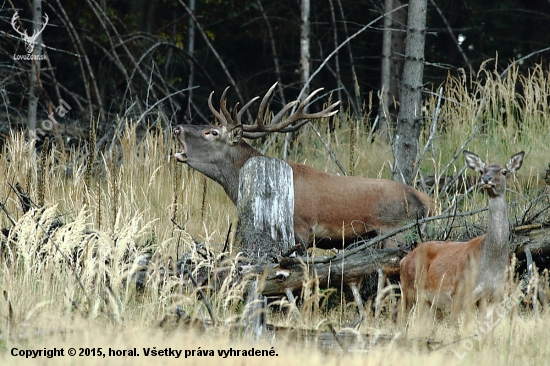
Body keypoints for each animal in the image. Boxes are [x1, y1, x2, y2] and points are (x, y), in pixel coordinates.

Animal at [402, 151, 528, 314]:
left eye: (504, 171)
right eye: (482, 171)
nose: (486, 179)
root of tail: (403, 260)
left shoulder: (495, 294)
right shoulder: (459, 291)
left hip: (431, 304)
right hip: (409, 292)